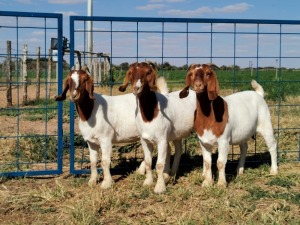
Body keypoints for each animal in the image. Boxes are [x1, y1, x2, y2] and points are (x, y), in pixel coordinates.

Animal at [119, 62, 197, 193]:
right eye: (130, 73)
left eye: (147, 72)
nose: (136, 88)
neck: (150, 115)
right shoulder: (144, 140)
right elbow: (148, 162)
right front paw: (148, 182)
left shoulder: (161, 140)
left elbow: (159, 165)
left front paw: (160, 187)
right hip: (176, 133)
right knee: (178, 150)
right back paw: (171, 174)